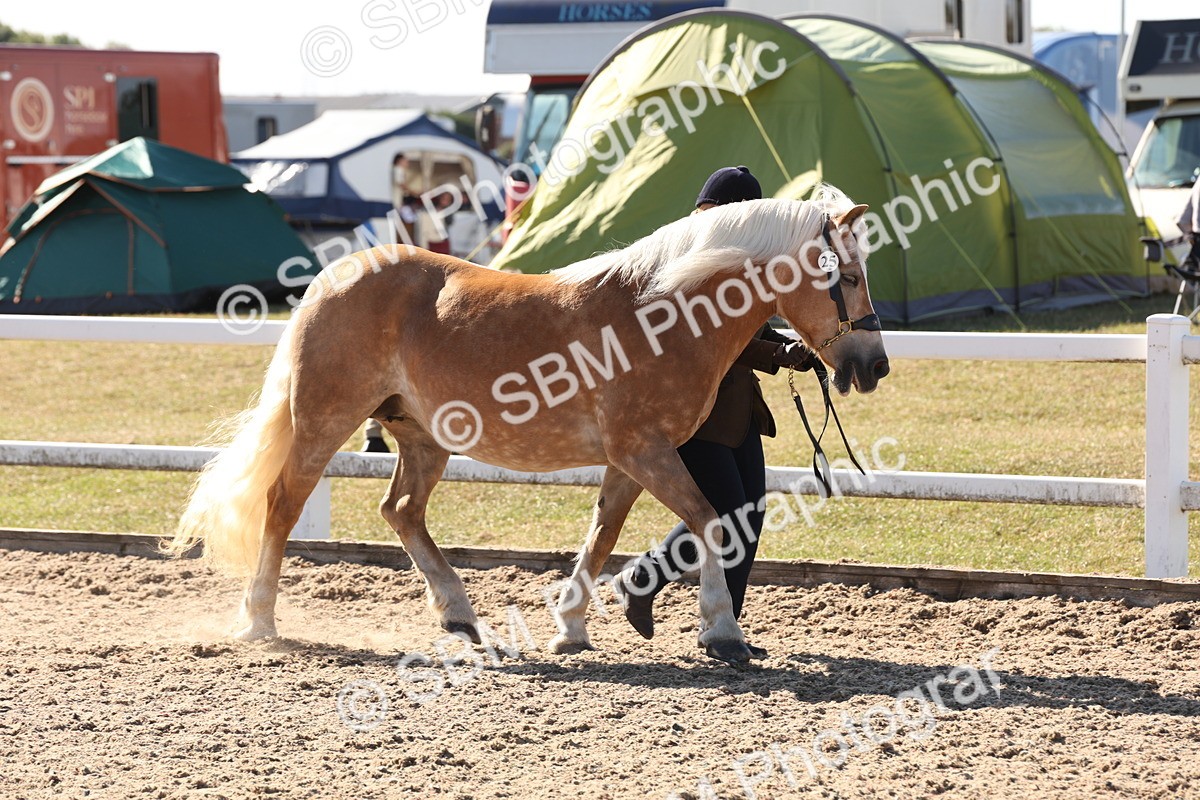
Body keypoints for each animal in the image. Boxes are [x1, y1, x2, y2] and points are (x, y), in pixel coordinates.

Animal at [164, 187, 889, 664]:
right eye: (850, 276)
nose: (874, 365)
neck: (663, 312)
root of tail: (332, 276)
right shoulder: (645, 450)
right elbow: (712, 521)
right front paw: (722, 632)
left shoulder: (630, 459)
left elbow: (602, 535)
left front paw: (571, 628)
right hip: (324, 418)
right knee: (282, 504)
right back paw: (259, 620)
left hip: (421, 437)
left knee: (401, 511)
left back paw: (462, 619)